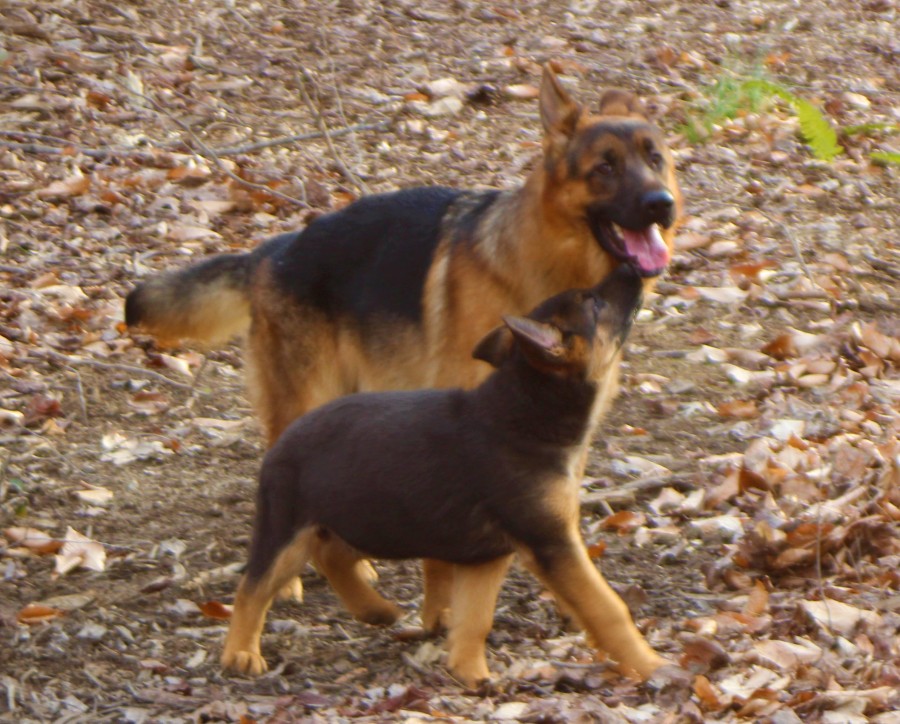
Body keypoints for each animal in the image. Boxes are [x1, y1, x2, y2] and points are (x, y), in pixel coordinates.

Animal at [126, 66, 681, 629]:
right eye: (605, 167)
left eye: (654, 158)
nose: (663, 205)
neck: (550, 263)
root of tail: (272, 252)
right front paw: (440, 610)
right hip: (304, 402)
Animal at [220, 264, 670, 686]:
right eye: (594, 304)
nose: (633, 268)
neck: (527, 409)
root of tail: (286, 436)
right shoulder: (551, 542)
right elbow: (608, 608)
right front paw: (651, 666)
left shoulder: (486, 555)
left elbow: (475, 618)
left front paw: (469, 673)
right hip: (291, 528)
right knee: (254, 587)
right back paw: (240, 652)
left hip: (356, 519)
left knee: (331, 556)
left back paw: (374, 609)